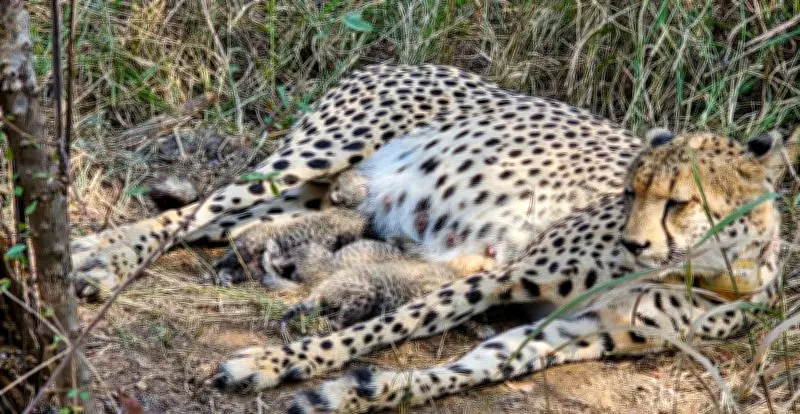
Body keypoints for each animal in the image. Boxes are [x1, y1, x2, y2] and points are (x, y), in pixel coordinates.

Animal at [67, 63, 796, 413]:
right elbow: (389, 325)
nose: (636, 244)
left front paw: (357, 393)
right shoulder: (503, 275)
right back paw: (95, 258)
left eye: (680, 203)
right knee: (193, 213)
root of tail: (394, 61)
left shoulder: (573, 333)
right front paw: (276, 363)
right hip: (315, 154)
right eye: (629, 192)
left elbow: (468, 368)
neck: (710, 270)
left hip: (312, 192)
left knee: (229, 224)